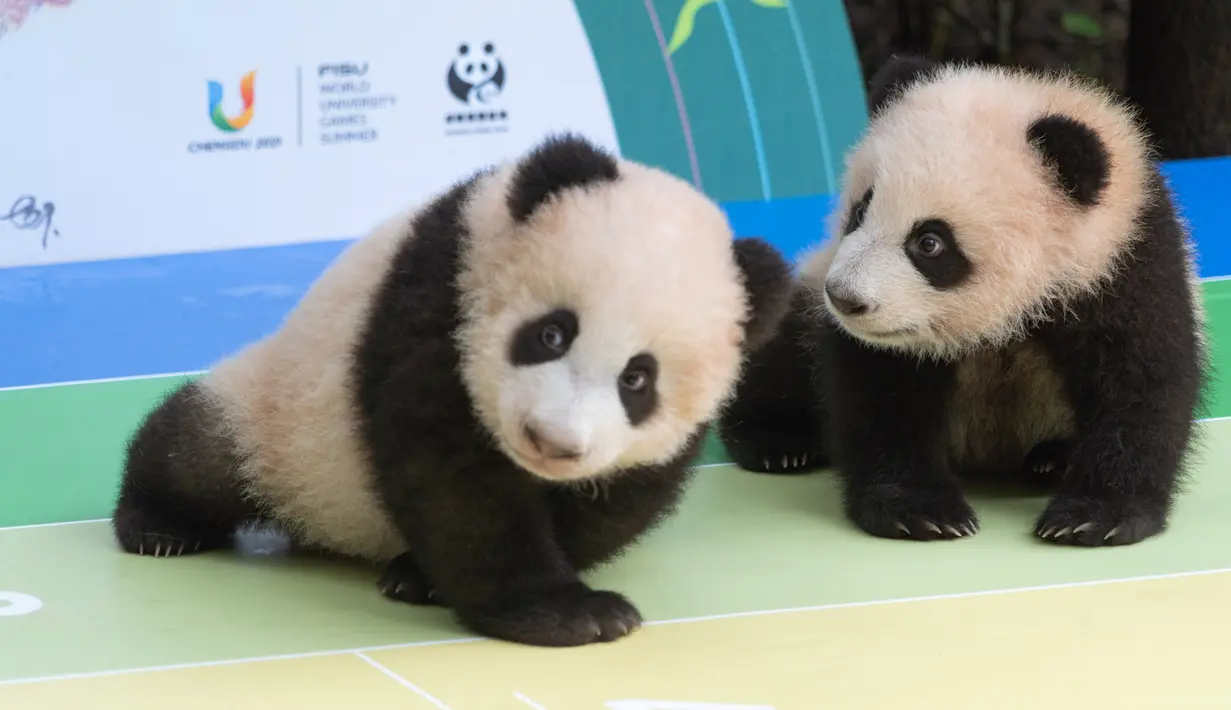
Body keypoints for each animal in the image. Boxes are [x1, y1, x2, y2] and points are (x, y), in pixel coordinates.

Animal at [111, 133, 794, 648]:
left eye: (637, 380)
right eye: (551, 334)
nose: (551, 441)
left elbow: (612, 504)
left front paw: (423, 577)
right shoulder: (440, 296)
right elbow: (454, 482)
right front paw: (571, 614)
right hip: (281, 419)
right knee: (197, 451)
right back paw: (159, 526)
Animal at [718, 55, 1209, 547]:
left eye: (930, 243)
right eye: (859, 211)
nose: (846, 299)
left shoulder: (1124, 265)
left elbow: (1141, 384)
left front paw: (1095, 516)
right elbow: (883, 394)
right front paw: (919, 510)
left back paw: (1051, 459)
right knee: (782, 352)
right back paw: (777, 440)